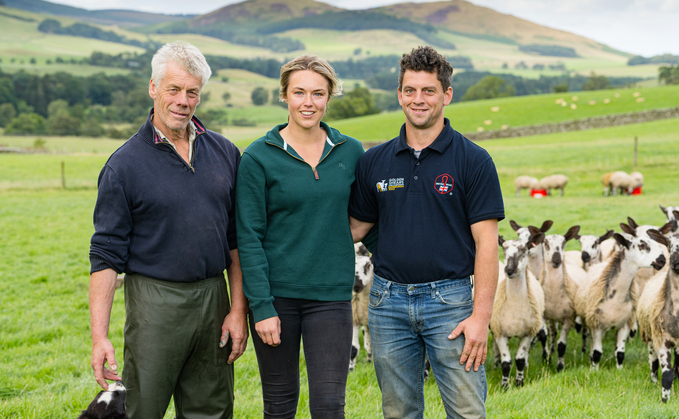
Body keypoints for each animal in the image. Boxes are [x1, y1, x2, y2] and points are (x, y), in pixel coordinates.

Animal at [492, 231, 544, 388]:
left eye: (523, 250)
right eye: (503, 249)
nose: (509, 270)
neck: (515, 304)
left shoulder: (528, 332)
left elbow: (519, 360)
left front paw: (519, 383)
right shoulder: (500, 332)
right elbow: (506, 363)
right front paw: (504, 386)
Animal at [580, 230, 668, 370]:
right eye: (642, 245)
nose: (662, 260)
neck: (617, 299)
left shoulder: (625, 324)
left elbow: (620, 353)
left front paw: (619, 370)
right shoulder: (597, 325)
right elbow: (597, 353)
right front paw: (595, 371)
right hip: (590, 321)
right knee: (592, 344)